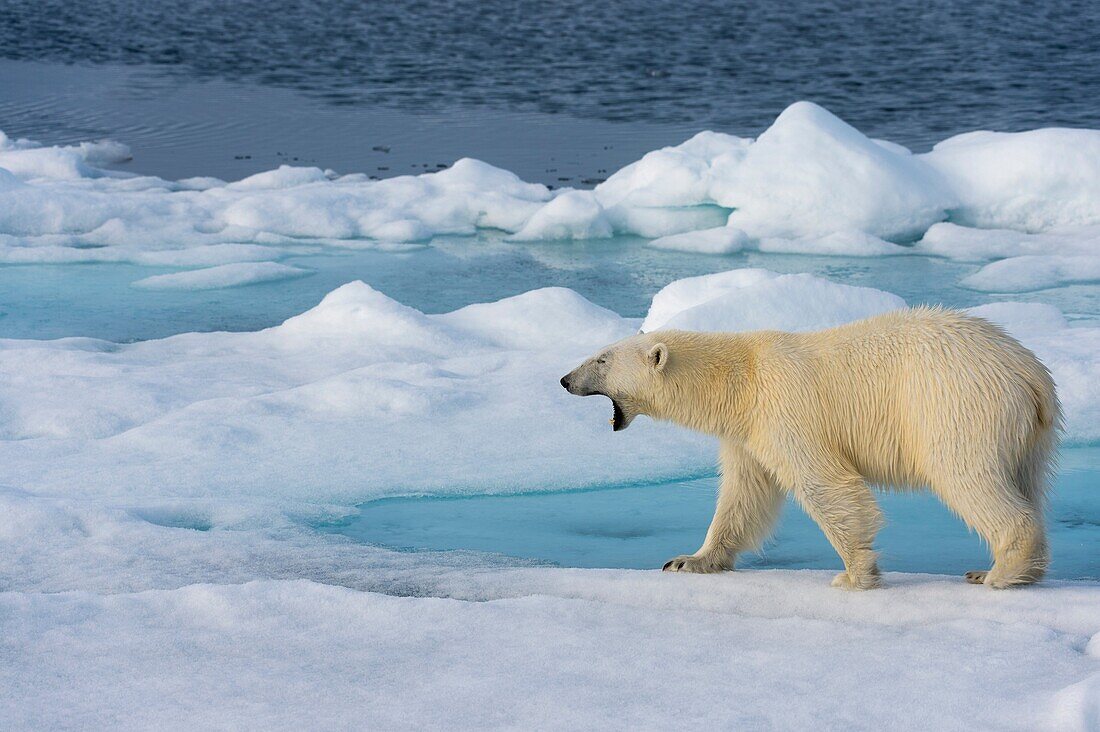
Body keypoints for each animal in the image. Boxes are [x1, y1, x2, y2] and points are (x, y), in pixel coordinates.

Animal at [563, 308, 1060, 590]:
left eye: (602, 359)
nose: (565, 379)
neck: (742, 380)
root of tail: (1030, 372)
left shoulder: (785, 409)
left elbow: (826, 484)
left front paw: (855, 573)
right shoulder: (747, 433)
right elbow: (744, 495)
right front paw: (688, 560)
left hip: (955, 405)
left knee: (965, 475)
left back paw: (1000, 573)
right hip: (1031, 434)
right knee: (1026, 482)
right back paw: (1012, 568)